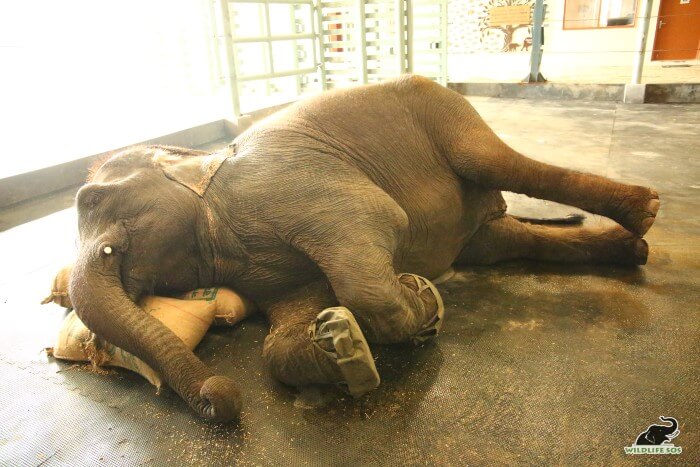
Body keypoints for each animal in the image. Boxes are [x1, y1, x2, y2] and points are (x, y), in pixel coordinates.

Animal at [68, 74, 660, 424]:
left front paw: (422, 303)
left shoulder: (283, 184)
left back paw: (647, 210)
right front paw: (341, 347)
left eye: (91, 199)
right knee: (505, 241)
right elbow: (287, 329)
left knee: (499, 163)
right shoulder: (263, 268)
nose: (221, 398)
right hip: (481, 226)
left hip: (447, 115)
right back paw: (631, 249)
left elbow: (373, 226)